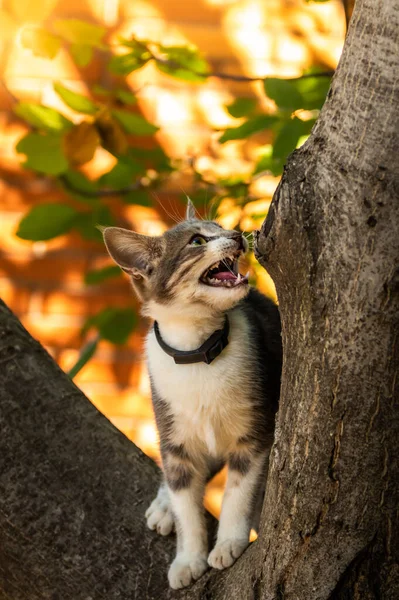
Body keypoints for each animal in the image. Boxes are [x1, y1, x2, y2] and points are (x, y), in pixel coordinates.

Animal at [103, 199, 284, 588]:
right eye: (198, 240)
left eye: (220, 227)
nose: (236, 234)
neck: (198, 352)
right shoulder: (176, 441)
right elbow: (186, 504)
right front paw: (188, 558)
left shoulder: (255, 431)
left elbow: (238, 492)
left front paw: (229, 543)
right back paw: (164, 505)